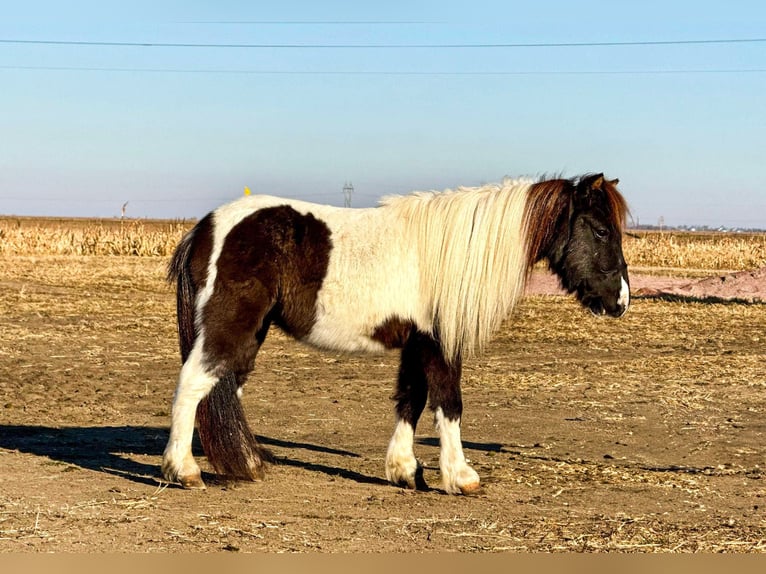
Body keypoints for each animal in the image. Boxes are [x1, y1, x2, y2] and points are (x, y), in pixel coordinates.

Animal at [160, 174, 632, 496]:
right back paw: (184, 470)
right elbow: (448, 402)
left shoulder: (417, 342)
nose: (621, 301)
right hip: (231, 325)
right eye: (602, 230)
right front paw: (461, 477)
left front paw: (405, 470)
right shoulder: (439, 342)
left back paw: (248, 462)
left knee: (225, 389)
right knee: (192, 384)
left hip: (251, 333)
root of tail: (203, 228)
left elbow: (412, 399)